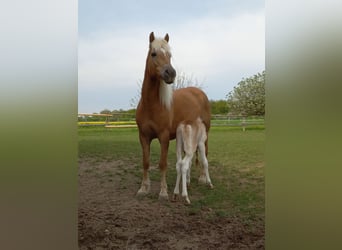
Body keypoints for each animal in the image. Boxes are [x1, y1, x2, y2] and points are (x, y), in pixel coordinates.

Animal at [136, 31, 211, 200]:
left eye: (169, 55)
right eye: (154, 54)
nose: (170, 73)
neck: (151, 105)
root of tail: (199, 92)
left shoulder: (163, 137)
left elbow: (162, 164)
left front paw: (163, 192)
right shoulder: (143, 136)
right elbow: (146, 162)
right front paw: (143, 188)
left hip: (205, 134)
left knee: (204, 153)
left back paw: (203, 178)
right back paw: (188, 181)